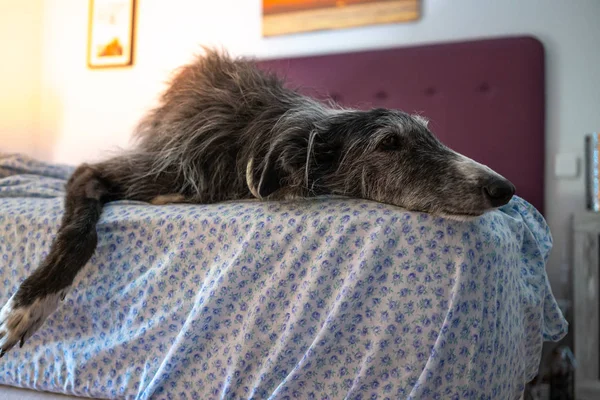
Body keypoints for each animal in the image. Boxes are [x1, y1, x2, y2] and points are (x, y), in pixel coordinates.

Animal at [0, 49, 516, 354]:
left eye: (432, 135)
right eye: (389, 143)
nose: (504, 190)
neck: (251, 145)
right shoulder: (103, 172)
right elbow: (78, 229)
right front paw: (35, 301)